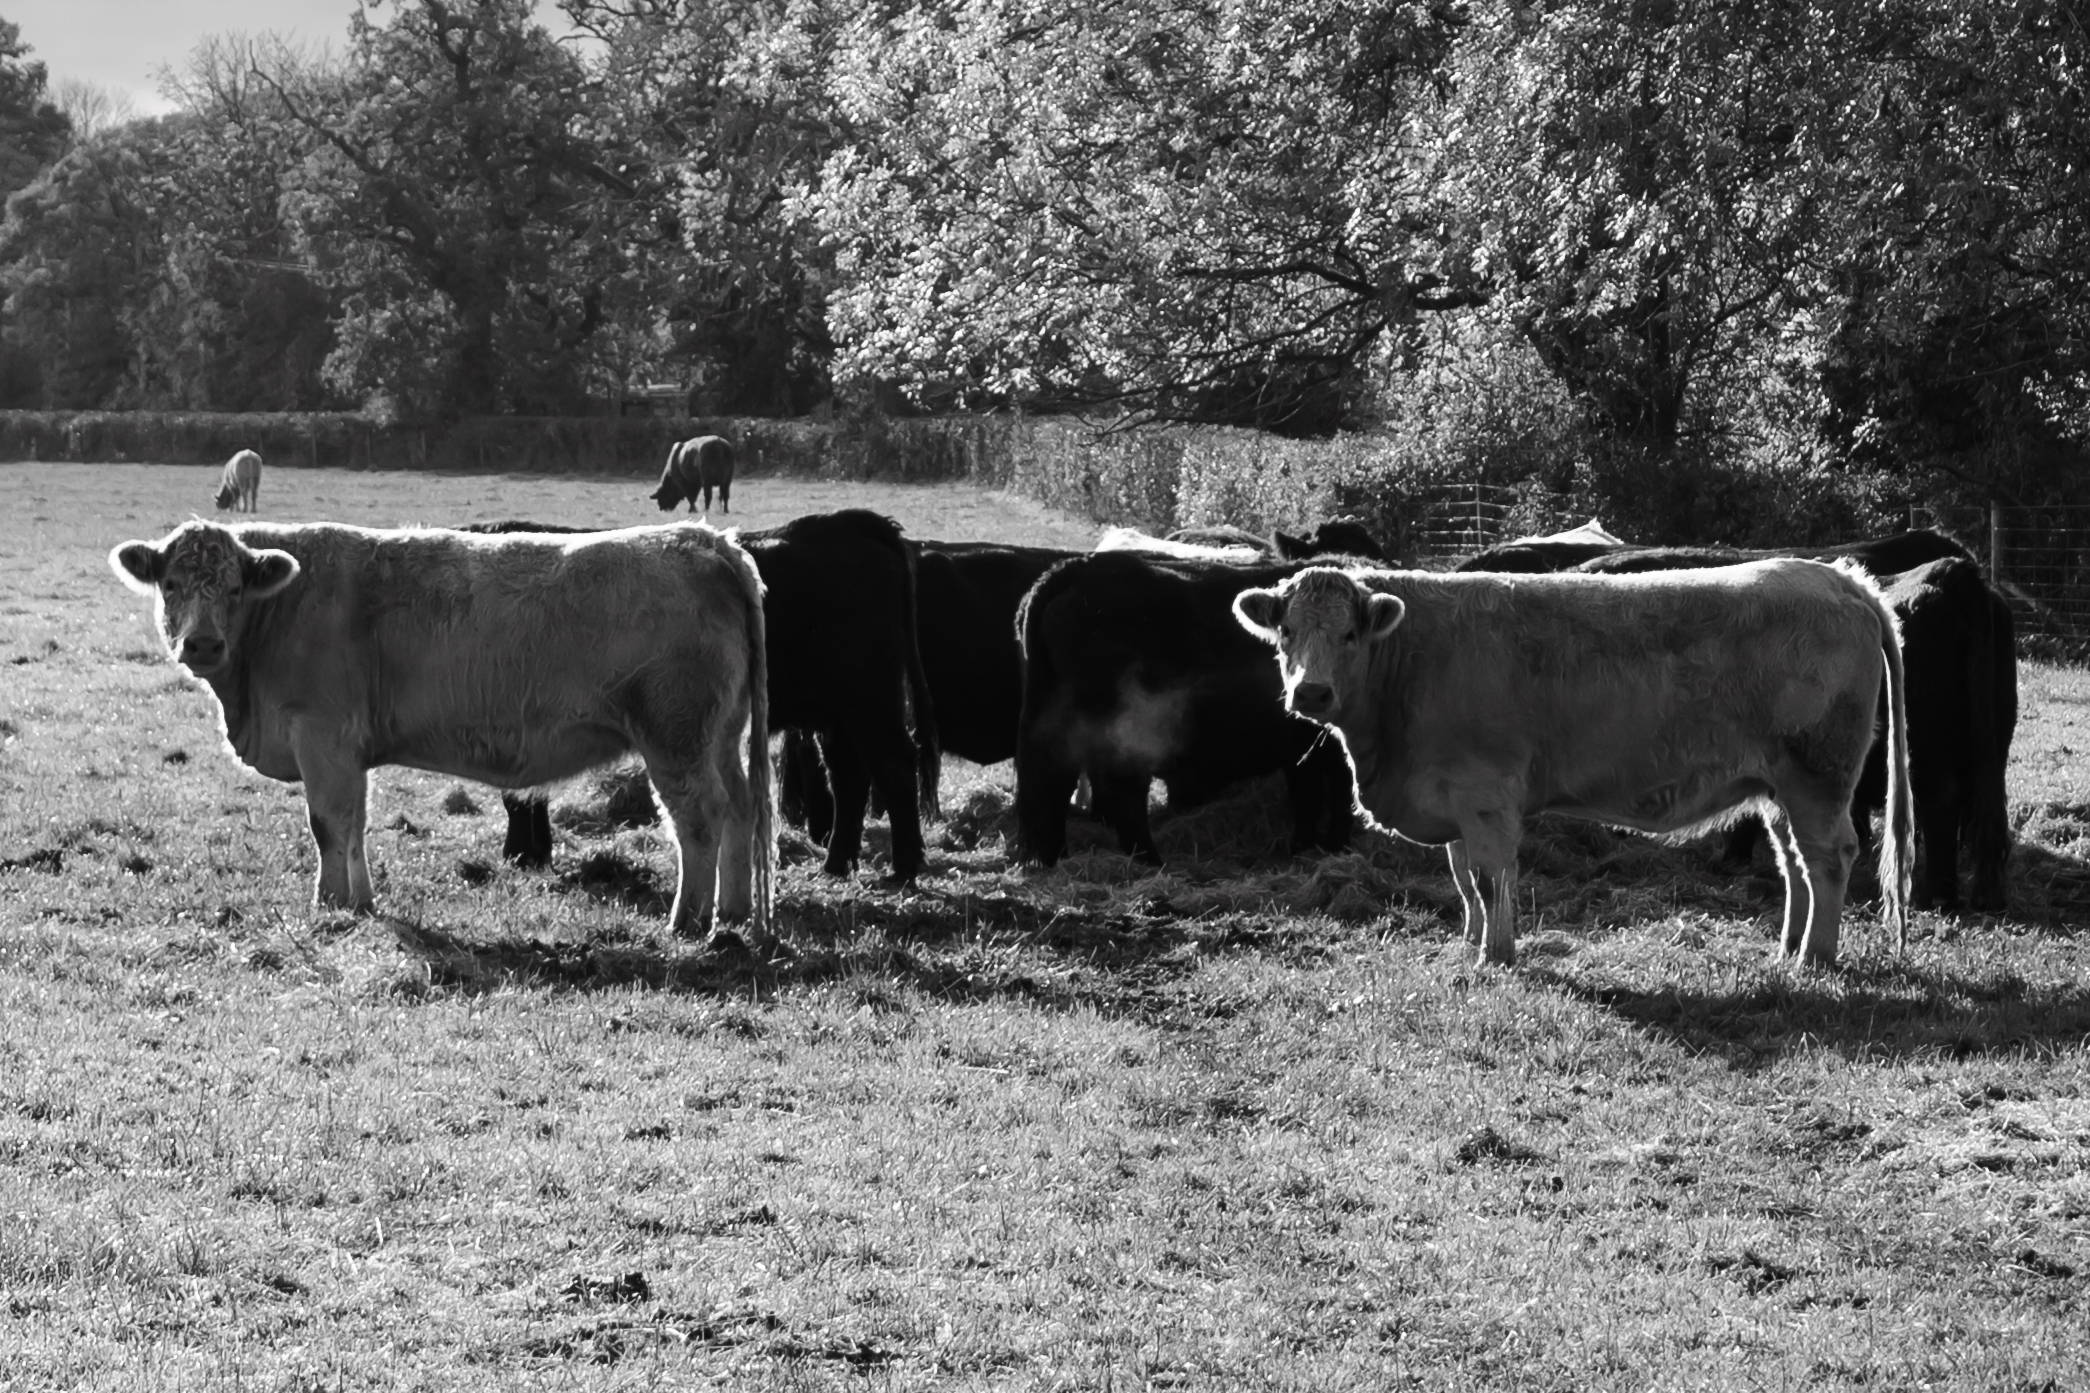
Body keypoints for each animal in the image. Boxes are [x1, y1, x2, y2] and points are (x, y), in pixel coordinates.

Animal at [109, 519, 774, 936]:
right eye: (171, 585)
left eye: (233, 586)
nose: (201, 643)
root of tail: (707, 540)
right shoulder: (348, 751)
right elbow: (354, 826)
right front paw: (359, 904)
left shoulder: (321, 735)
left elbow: (327, 825)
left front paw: (329, 906)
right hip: (719, 737)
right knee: (742, 809)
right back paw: (734, 913)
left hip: (677, 737)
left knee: (699, 818)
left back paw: (689, 921)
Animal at [484, 511, 937, 883]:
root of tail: (847, 523)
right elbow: (526, 792)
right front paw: (531, 853)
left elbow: (518, 794)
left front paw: (522, 854)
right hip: (838, 715)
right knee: (849, 777)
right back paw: (837, 864)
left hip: (871, 704)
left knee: (894, 767)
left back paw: (903, 868)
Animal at [1014, 549, 1359, 867]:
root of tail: (1078, 567)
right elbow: (1339, 797)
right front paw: (1337, 848)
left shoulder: (1301, 749)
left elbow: (1308, 796)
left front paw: (1305, 848)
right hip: (1122, 730)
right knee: (1119, 792)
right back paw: (1150, 862)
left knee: (1047, 782)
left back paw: (1053, 860)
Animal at [1233, 562, 1912, 968]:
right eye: (1286, 633)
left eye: (1349, 637)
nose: (1311, 692)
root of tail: (1841, 578)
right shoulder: (1450, 796)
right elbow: (1463, 879)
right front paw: (1471, 942)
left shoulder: (1487, 795)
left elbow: (1491, 878)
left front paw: (1496, 957)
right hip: (1777, 787)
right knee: (1794, 861)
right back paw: (1787, 950)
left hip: (1818, 777)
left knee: (1830, 858)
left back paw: (1815, 960)